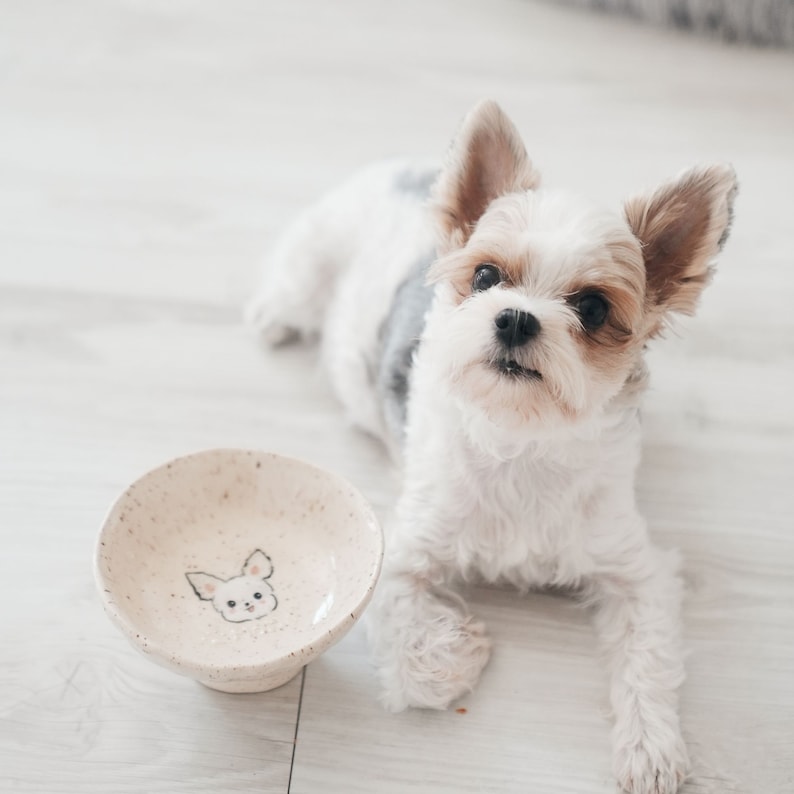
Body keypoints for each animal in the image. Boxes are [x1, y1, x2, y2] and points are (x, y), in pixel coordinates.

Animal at [248, 100, 736, 792]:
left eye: (592, 307)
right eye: (485, 275)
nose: (514, 317)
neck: (521, 439)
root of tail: (402, 168)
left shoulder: (635, 569)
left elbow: (648, 653)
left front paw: (651, 746)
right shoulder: (405, 550)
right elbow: (410, 644)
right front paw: (459, 655)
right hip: (311, 264)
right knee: (289, 289)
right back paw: (271, 317)